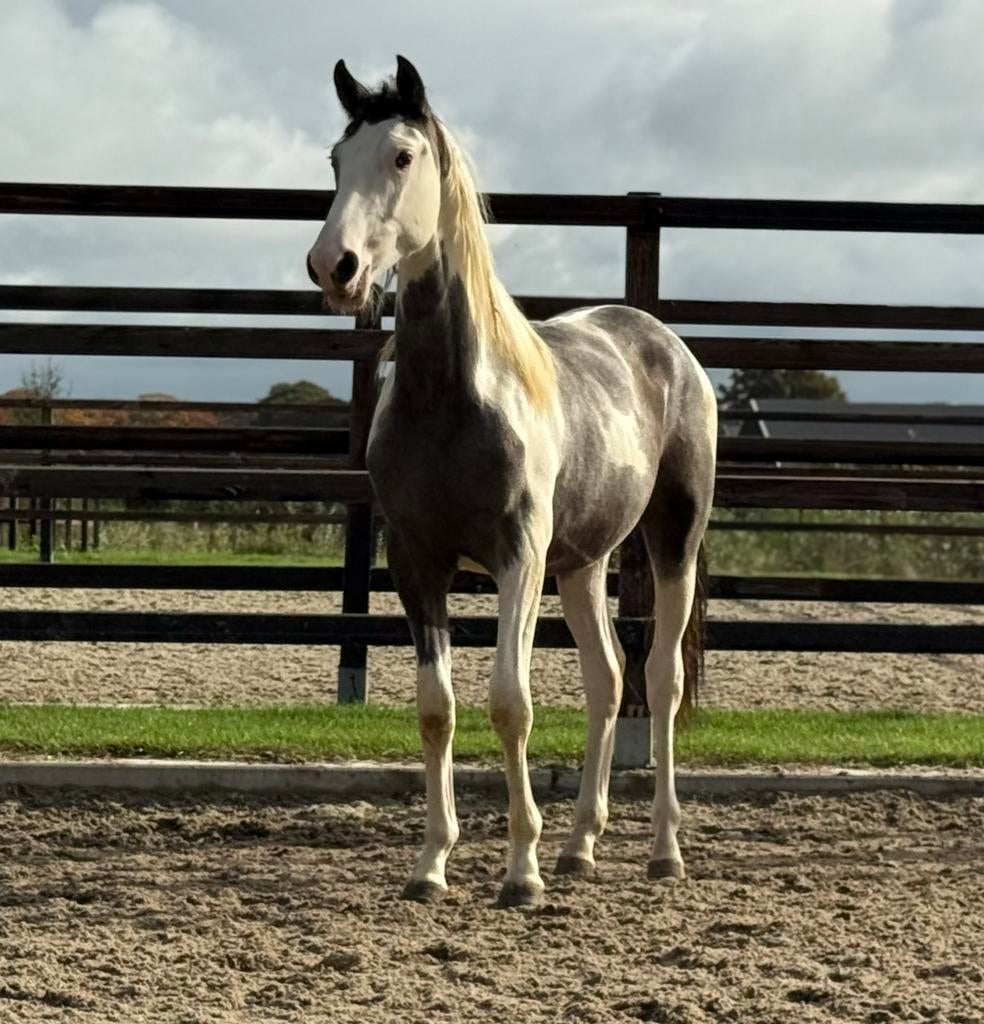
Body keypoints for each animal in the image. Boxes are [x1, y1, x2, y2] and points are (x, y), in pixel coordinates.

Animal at [306, 56, 718, 907]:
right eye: (336, 160)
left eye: (402, 156)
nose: (336, 267)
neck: (453, 398)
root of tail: (667, 346)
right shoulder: (416, 565)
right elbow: (438, 709)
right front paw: (432, 864)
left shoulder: (516, 561)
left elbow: (510, 704)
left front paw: (520, 870)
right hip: (584, 564)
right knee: (607, 680)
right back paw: (580, 847)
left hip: (673, 544)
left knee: (658, 680)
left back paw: (662, 852)